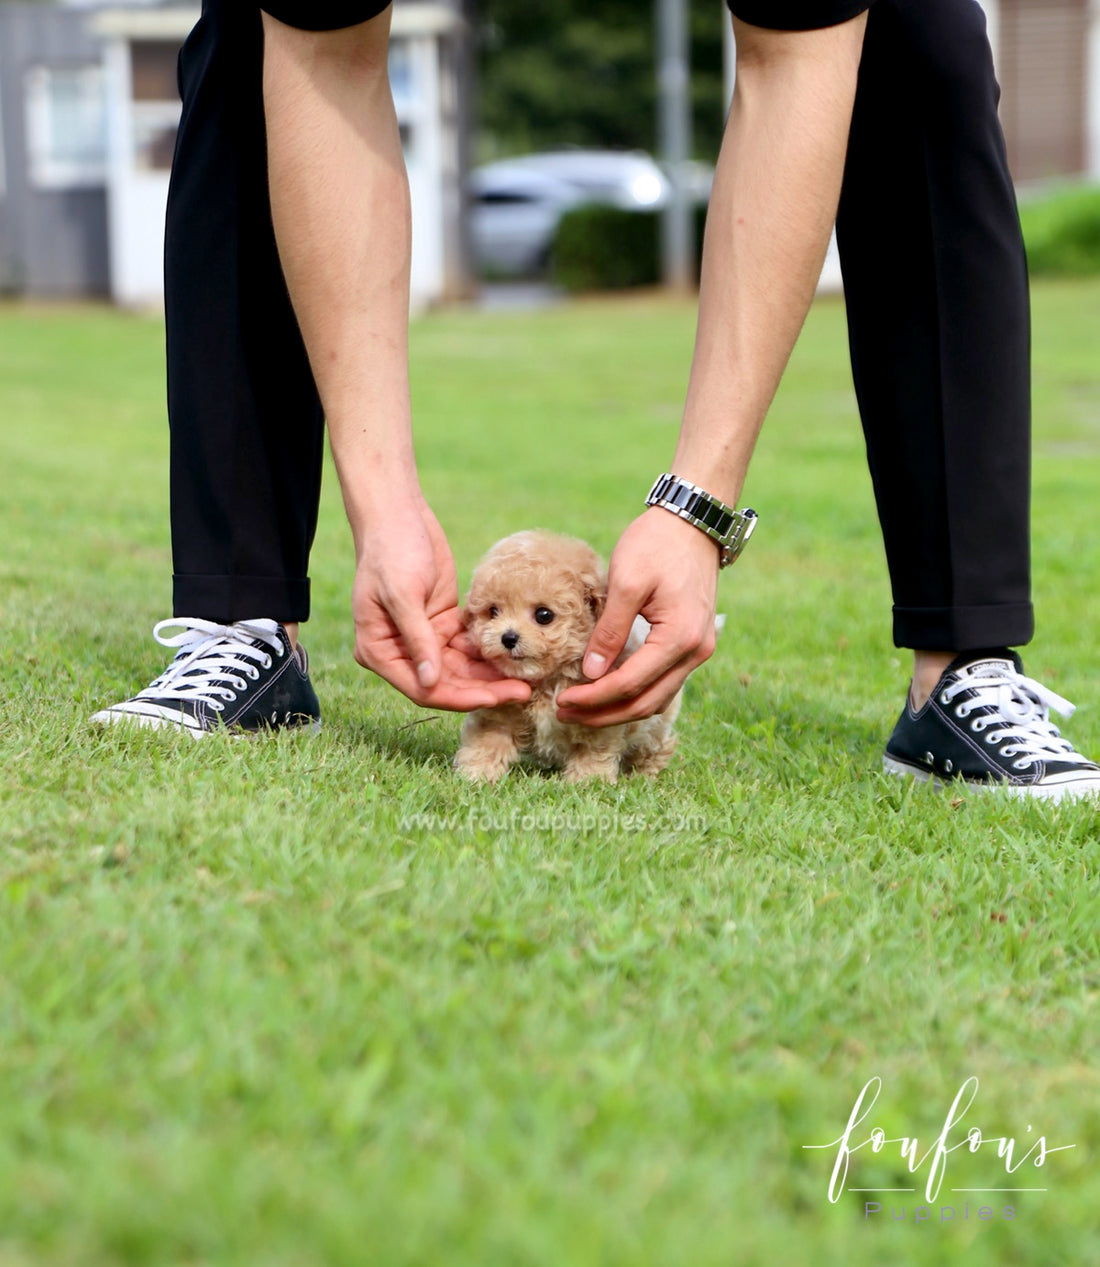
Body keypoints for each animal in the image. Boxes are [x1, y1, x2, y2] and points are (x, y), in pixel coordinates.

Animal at [453, 527, 679, 780]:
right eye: (492, 611)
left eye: (544, 615)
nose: (508, 638)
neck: (546, 681)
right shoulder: (498, 714)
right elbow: (488, 741)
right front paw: (476, 774)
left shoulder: (597, 721)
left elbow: (592, 750)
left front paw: (588, 781)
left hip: (656, 725)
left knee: (653, 747)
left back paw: (644, 774)